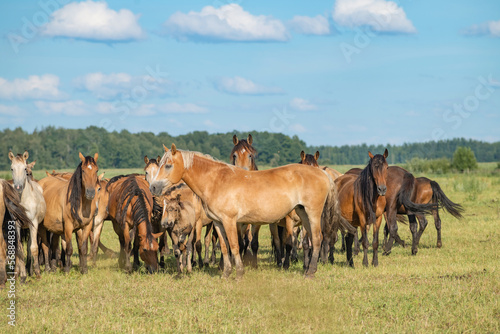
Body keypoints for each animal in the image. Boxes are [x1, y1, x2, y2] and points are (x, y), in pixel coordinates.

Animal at [8, 151, 46, 280]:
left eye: (25, 168)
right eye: (12, 168)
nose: (18, 187)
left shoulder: (33, 223)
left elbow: (33, 248)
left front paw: (38, 273)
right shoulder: (17, 224)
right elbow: (19, 249)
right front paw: (22, 275)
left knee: (30, 245)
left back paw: (31, 270)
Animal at [150, 145, 354, 278]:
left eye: (168, 165)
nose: (152, 187)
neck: (217, 180)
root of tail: (323, 173)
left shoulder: (230, 221)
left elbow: (234, 246)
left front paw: (239, 273)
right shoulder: (218, 223)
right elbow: (224, 247)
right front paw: (226, 273)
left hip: (313, 213)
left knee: (318, 239)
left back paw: (310, 272)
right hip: (303, 214)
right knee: (310, 240)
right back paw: (308, 269)